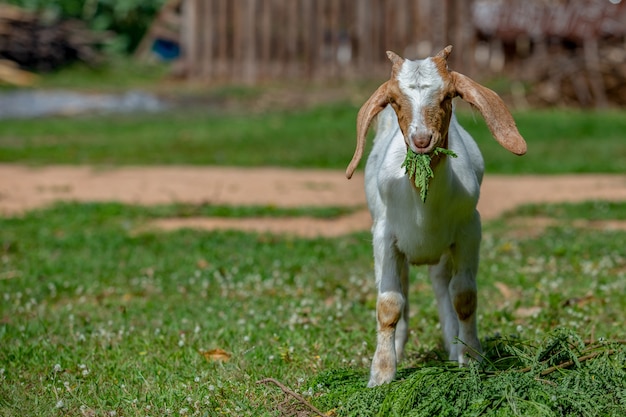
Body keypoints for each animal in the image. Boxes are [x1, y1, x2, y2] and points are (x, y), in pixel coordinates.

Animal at [344, 46, 524, 386]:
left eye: (447, 96)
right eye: (395, 100)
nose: (422, 140)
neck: (423, 210)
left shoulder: (469, 230)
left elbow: (464, 297)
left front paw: (472, 358)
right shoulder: (385, 236)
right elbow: (389, 303)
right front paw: (382, 374)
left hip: (442, 252)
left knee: (442, 285)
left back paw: (454, 346)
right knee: (403, 287)